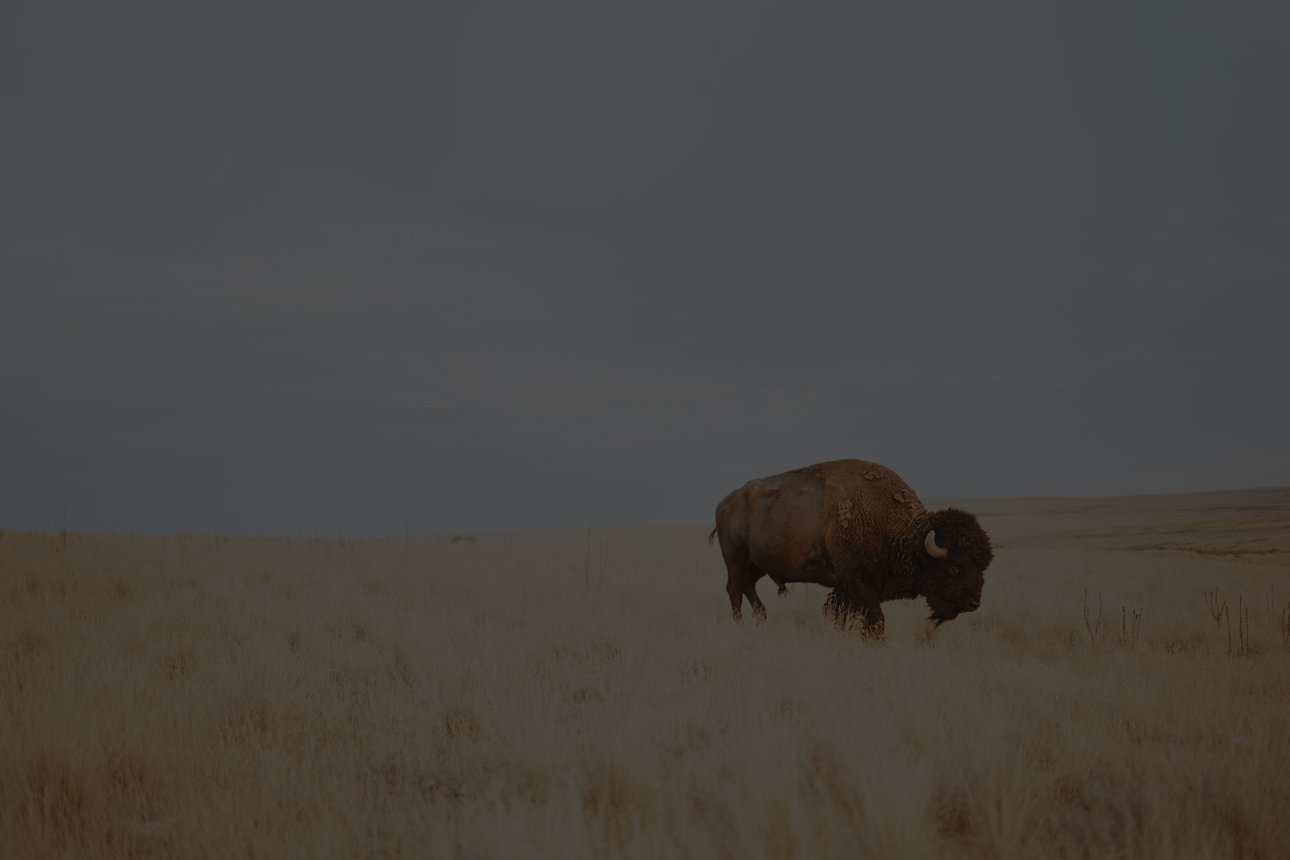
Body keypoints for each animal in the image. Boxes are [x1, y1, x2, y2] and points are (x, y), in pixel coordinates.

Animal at [709, 459, 993, 636]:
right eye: (955, 567)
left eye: (983, 566)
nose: (974, 602)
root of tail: (725, 503)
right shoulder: (859, 583)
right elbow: (875, 619)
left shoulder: (845, 588)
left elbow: (839, 614)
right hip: (736, 560)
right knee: (735, 591)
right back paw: (740, 625)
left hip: (757, 565)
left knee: (748, 588)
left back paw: (761, 619)